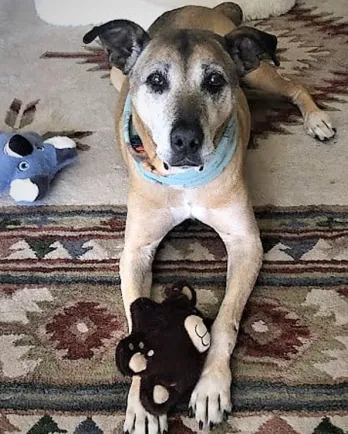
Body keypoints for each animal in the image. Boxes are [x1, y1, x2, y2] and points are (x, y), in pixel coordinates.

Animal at [83, 4, 336, 434]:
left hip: (260, 71)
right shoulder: (136, 251)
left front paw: (210, 387)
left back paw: (316, 119)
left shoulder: (246, 243)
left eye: (215, 80)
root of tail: (208, 8)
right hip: (120, 76)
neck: (185, 179)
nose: (186, 139)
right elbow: (138, 324)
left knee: (294, 85)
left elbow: (225, 323)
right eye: (155, 80)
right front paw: (142, 405)